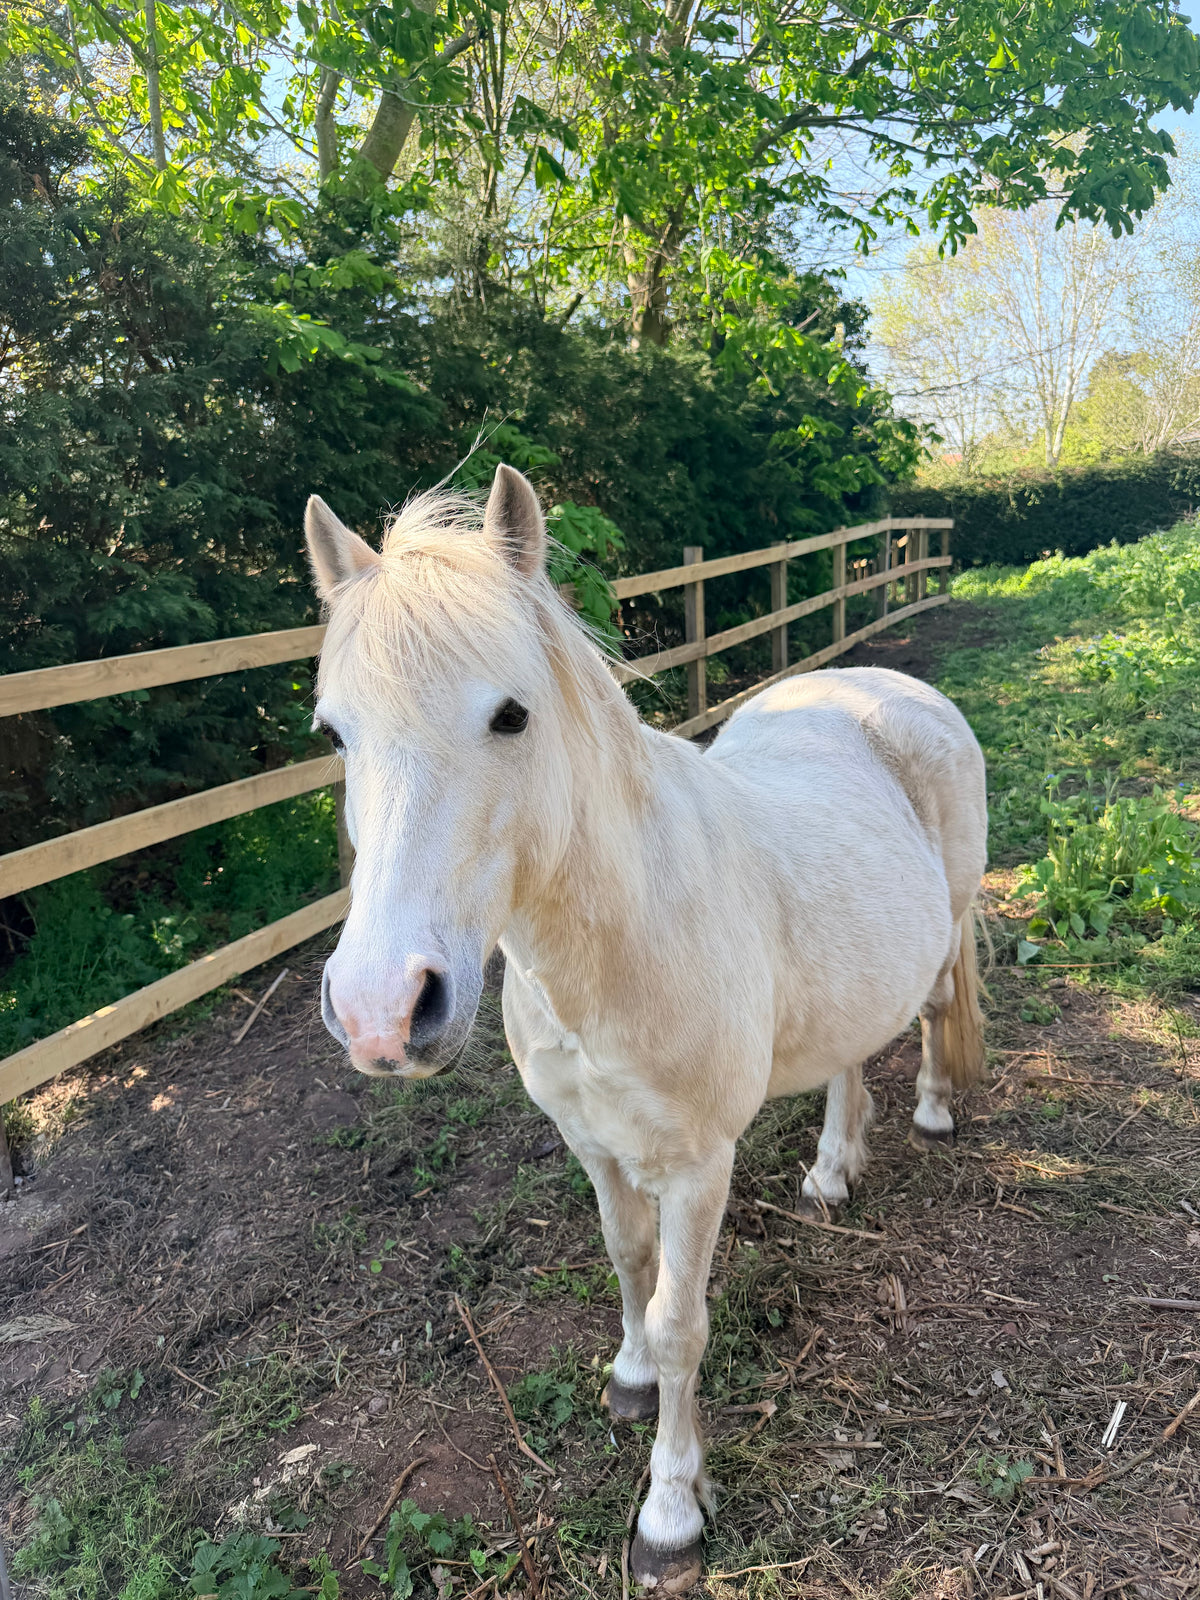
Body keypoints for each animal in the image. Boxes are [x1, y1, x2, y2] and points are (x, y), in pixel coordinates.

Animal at [305, 464, 988, 1593]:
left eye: (511, 715)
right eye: (334, 732)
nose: (380, 1011)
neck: (621, 937)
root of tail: (890, 686)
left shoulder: (697, 1166)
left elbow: (678, 1323)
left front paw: (671, 1510)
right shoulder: (594, 1143)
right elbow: (625, 1262)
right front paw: (625, 1377)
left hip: (955, 918)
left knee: (934, 1008)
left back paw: (933, 1110)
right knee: (850, 1056)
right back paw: (831, 1169)